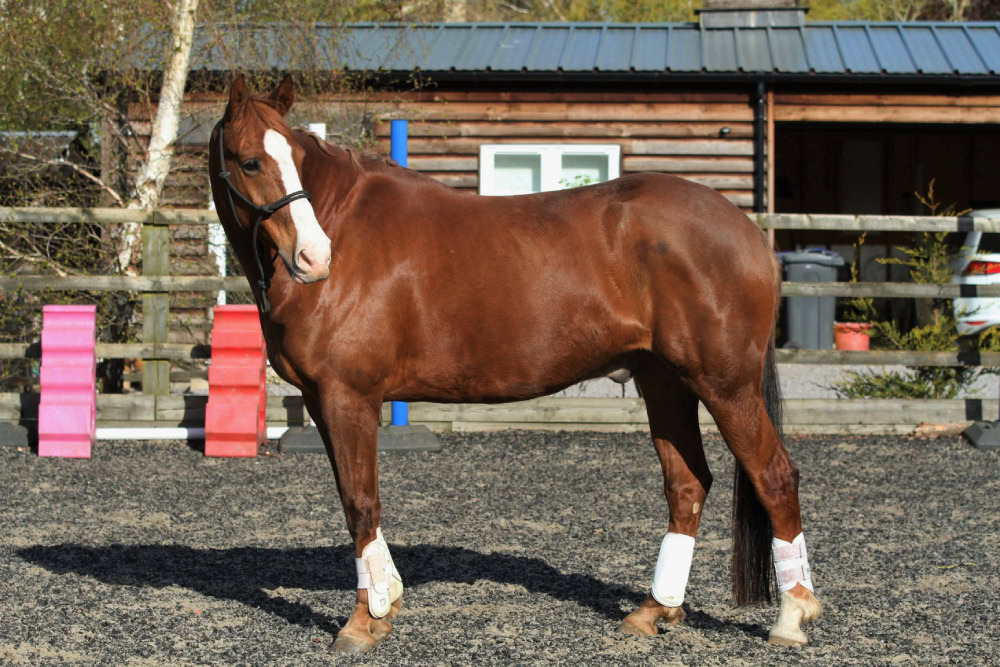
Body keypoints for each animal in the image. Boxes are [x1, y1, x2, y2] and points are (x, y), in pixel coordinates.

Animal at [208, 74, 822, 655]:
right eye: (250, 160)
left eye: (295, 156)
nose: (314, 258)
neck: (345, 226)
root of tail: (747, 231)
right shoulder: (321, 400)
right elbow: (351, 499)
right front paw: (385, 604)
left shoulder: (348, 396)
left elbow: (360, 503)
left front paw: (365, 621)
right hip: (666, 384)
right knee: (688, 485)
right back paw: (655, 611)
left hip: (725, 385)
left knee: (774, 477)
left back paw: (792, 616)